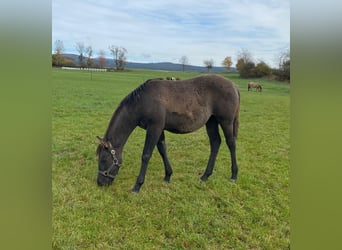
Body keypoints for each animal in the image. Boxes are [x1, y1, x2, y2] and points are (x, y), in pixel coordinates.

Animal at [96, 73, 240, 192]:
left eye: (103, 159)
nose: (100, 183)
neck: (143, 101)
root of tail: (233, 85)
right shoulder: (158, 129)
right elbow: (162, 150)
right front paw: (168, 176)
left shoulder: (154, 128)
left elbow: (146, 155)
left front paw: (138, 185)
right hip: (211, 121)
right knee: (215, 143)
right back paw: (205, 176)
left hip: (226, 121)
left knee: (231, 143)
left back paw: (233, 175)